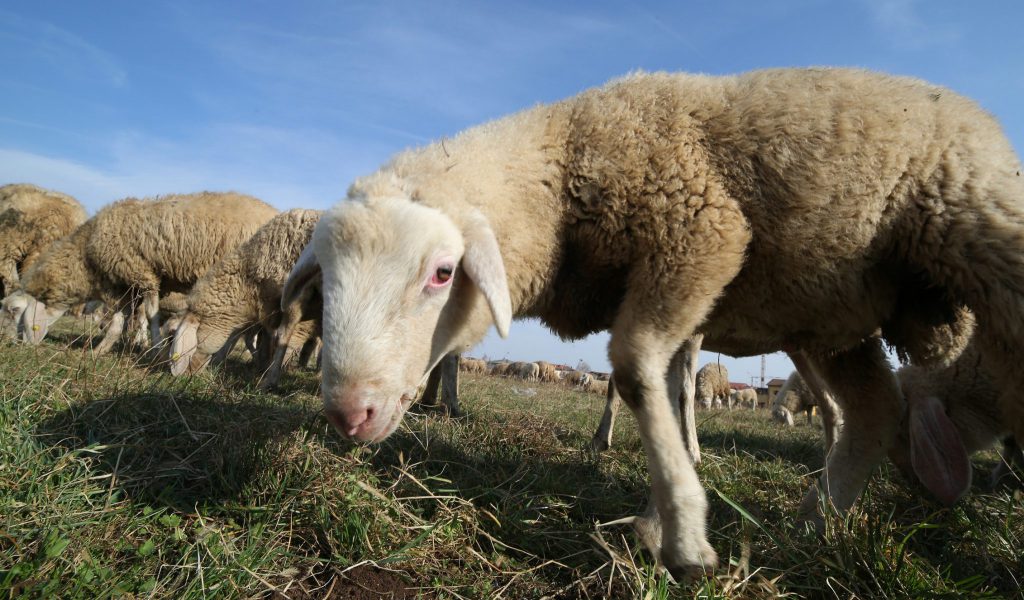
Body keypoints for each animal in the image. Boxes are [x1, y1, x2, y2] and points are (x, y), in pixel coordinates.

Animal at [14, 190, 278, 350]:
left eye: (14, 311)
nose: (19, 345)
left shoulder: (142, 274)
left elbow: (150, 316)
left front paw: (154, 348)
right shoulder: (123, 285)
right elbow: (120, 319)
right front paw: (101, 350)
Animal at [284, 66, 1024, 573]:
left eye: (442, 273)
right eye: (326, 281)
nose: (349, 414)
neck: (566, 164)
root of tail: (978, 115)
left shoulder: (701, 234)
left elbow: (637, 371)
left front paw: (687, 536)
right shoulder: (666, 278)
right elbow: (659, 387)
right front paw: (658, 517)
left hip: (973, 238)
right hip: (830, 315)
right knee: (873, 410)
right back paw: (816, 523)